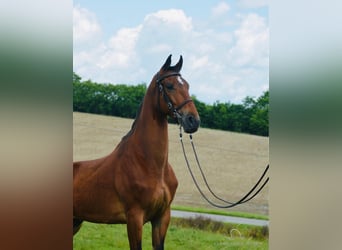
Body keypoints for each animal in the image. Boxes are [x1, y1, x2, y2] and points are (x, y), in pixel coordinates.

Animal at [73, 55, 200, 250]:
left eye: (187, 85)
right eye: (169, 85)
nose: (193, 120)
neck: (150, 165)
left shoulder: (162, 217)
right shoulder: (134, 217)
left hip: (75, 221)